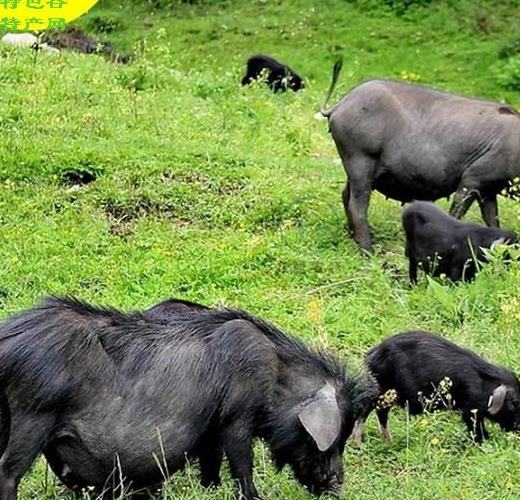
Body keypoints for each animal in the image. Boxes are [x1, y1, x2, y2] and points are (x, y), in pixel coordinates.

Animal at [0, 296, 370, 500]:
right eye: (335, 438)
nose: (338, 487)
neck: (277, 375)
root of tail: (8, 341)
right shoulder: (236, 415)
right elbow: (242, 462)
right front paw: (254, 497)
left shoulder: (211, 426)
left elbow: (211, 460)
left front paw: (210, 489)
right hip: (33, 413)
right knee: (7, 469)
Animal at [318, 60, 520, 252]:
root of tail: (339, 105)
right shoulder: (472, 178)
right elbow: (458, 212)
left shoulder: (489, 188)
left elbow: (492, 219)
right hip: (359, 160)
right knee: (357, 205)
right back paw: (369, 251)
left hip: (356, 167)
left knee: (346, 194)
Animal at [352, 330, 520, 444]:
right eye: (515, 402)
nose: (518, 429)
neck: (484, 385)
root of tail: (372, 355)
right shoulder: (470, 409)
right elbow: (475, 427)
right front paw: (484, 441)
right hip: (383, 390)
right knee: (368, 409)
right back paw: (359, 443)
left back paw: (388, 441)